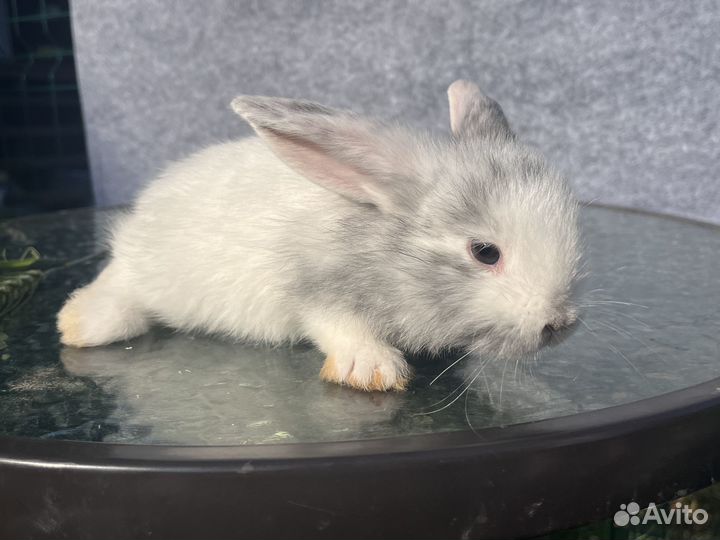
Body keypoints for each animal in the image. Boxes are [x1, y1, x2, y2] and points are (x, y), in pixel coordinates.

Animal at [57, 80, 581, 392]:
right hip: (146, 277)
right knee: (118, 286)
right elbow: (334, 324)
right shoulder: (315, 290)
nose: (558, 325)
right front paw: (371, 370)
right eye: (484, 252)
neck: (381, 244)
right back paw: (79, 324)